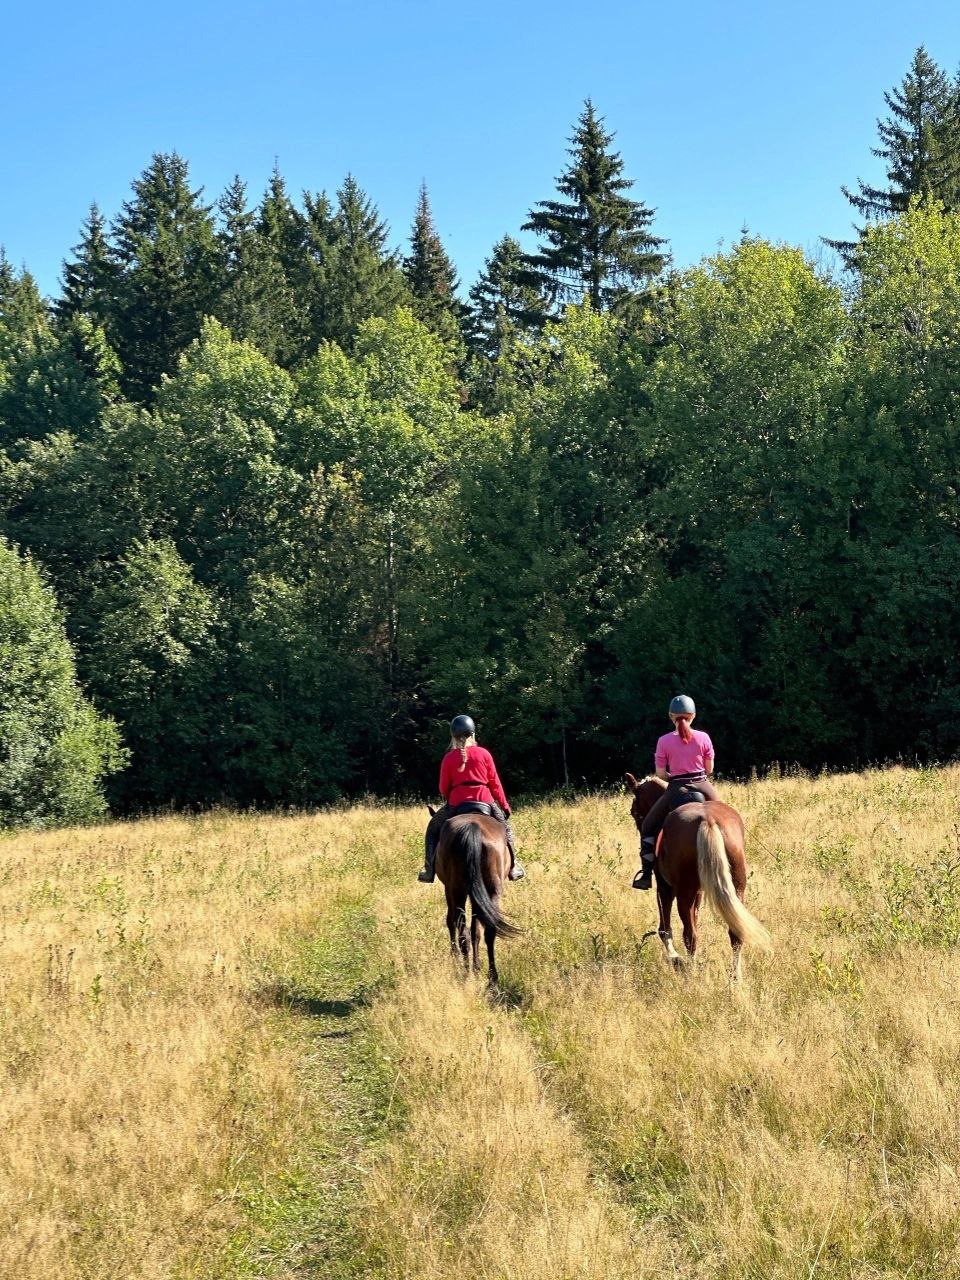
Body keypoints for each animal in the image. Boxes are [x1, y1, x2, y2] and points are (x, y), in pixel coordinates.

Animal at [430, 803, 522, 983]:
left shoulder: (448, 889)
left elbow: (453, 922)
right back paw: (490, 977)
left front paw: (457, 957)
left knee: (462, 929)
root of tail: (472, 828)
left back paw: (467, 971)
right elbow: (475, 930)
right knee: (487, 930)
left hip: (457, 890)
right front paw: (476, 965)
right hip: (490, 890)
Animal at [624, 768, 773, 977]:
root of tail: (707, 820)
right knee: (734, 932)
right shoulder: (699, 891)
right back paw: (735, 976)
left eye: (634, 811)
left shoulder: (664, 886)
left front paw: (674, 957)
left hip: (683, 892)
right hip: (737, 887)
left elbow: (665, 928)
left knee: (690, 934)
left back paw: (690, 970)